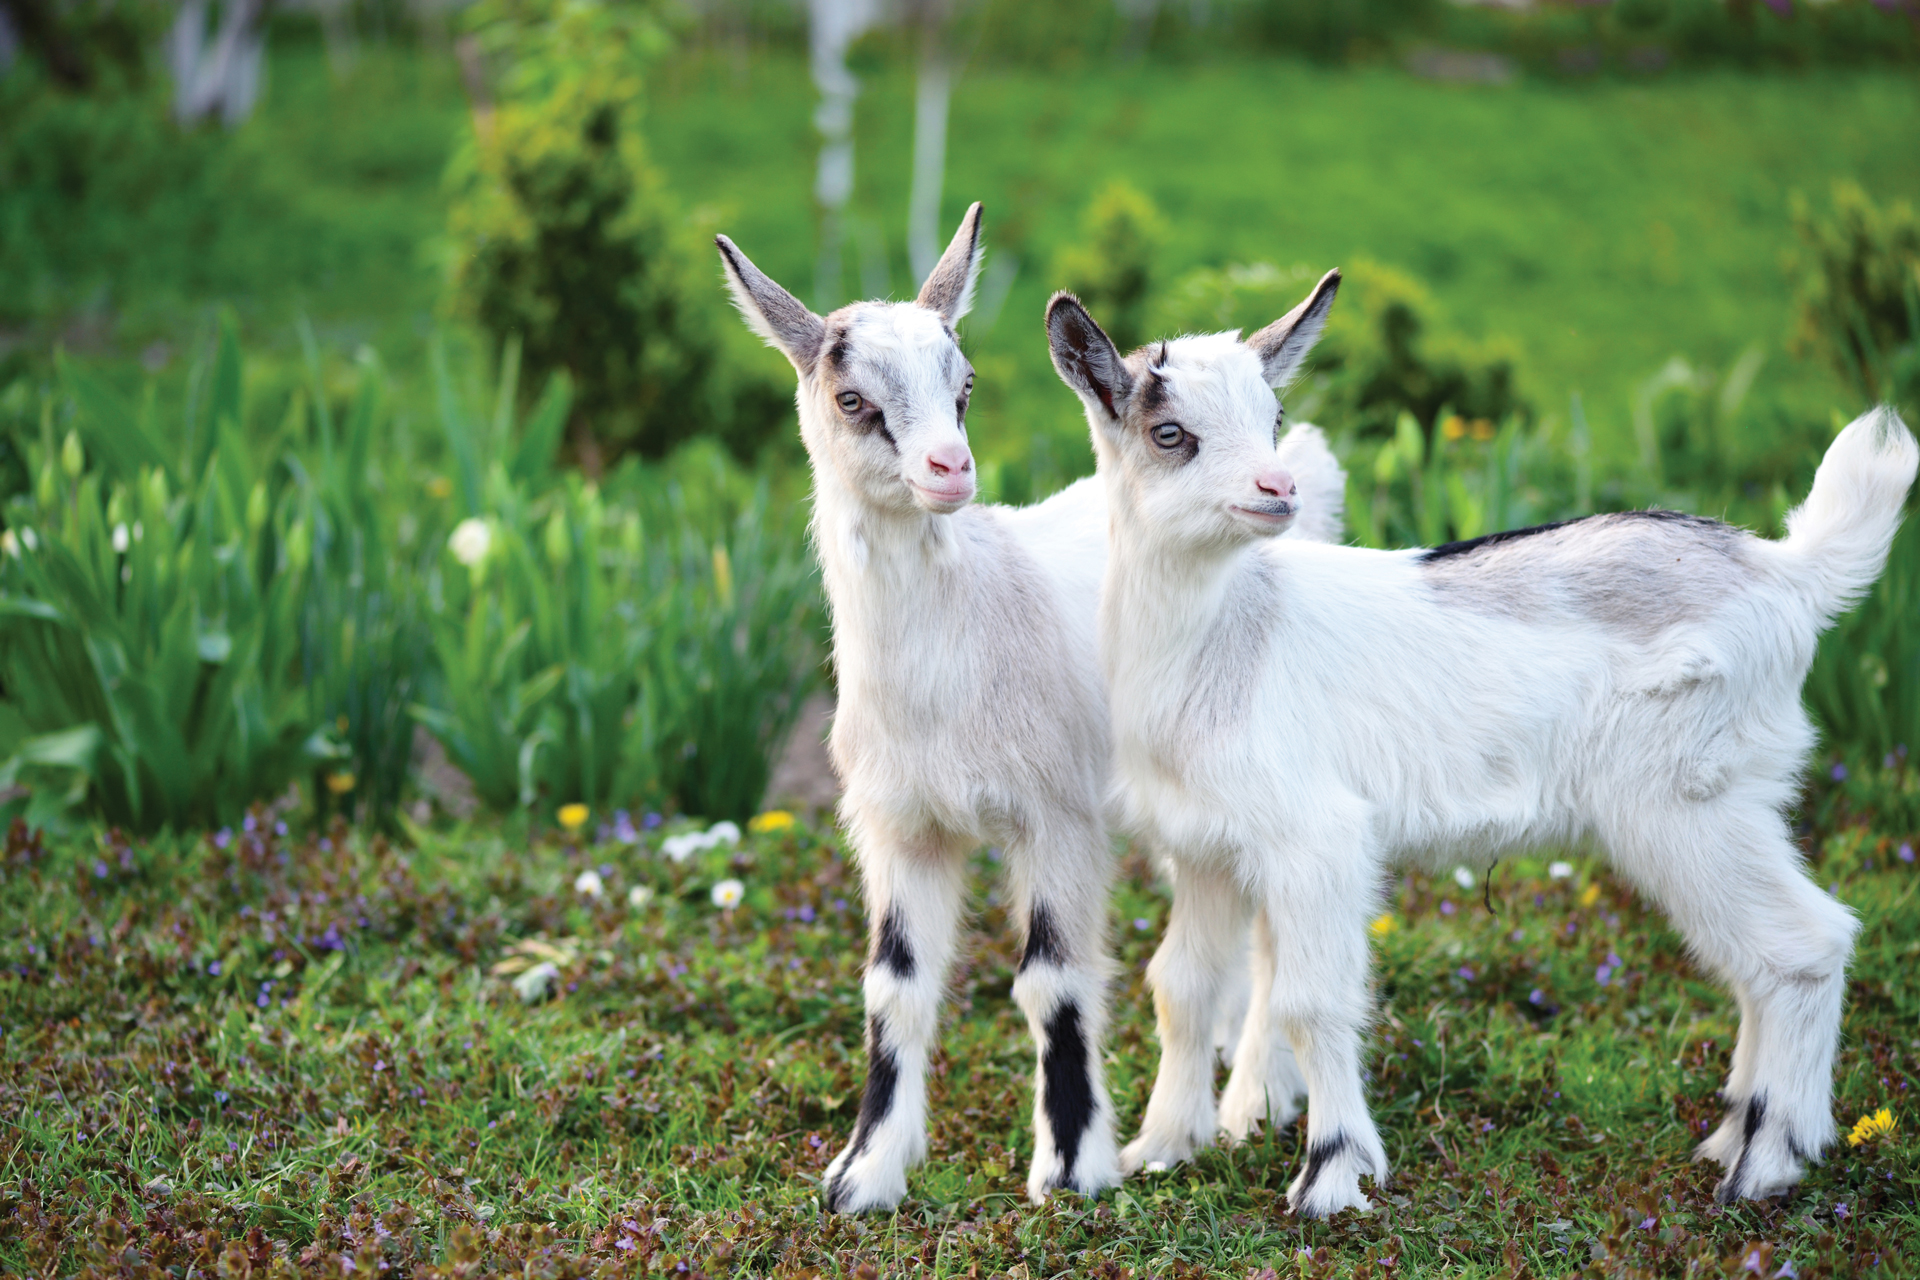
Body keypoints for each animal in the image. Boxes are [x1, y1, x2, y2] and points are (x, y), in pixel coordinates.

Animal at [715, 207, 1345, 1212]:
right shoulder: (899, 827)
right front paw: (864, 1175)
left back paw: (1255, 1101)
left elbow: (1052, 981)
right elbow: (894, 985)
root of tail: (1308, 467)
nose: (949, 468)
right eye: (851, 399)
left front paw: (1072, 1170)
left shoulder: (1058, 816)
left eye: (964, 385)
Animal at [1045, 273, 1917, 1217]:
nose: (1278, 487)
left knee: (1804, 946)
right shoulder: (1204, 848)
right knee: (1765, 961)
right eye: (1169, 433)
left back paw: (1767, 1165)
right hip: (1733, 800)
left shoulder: (1318, 839)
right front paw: (1161, 1150)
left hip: (1688, 804)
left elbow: (1312, 1002)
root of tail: (1791, 572)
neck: (1226, 634)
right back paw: (1734, 1138)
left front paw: (1332, 1177)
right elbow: (1181, 986)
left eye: (1274, 416)